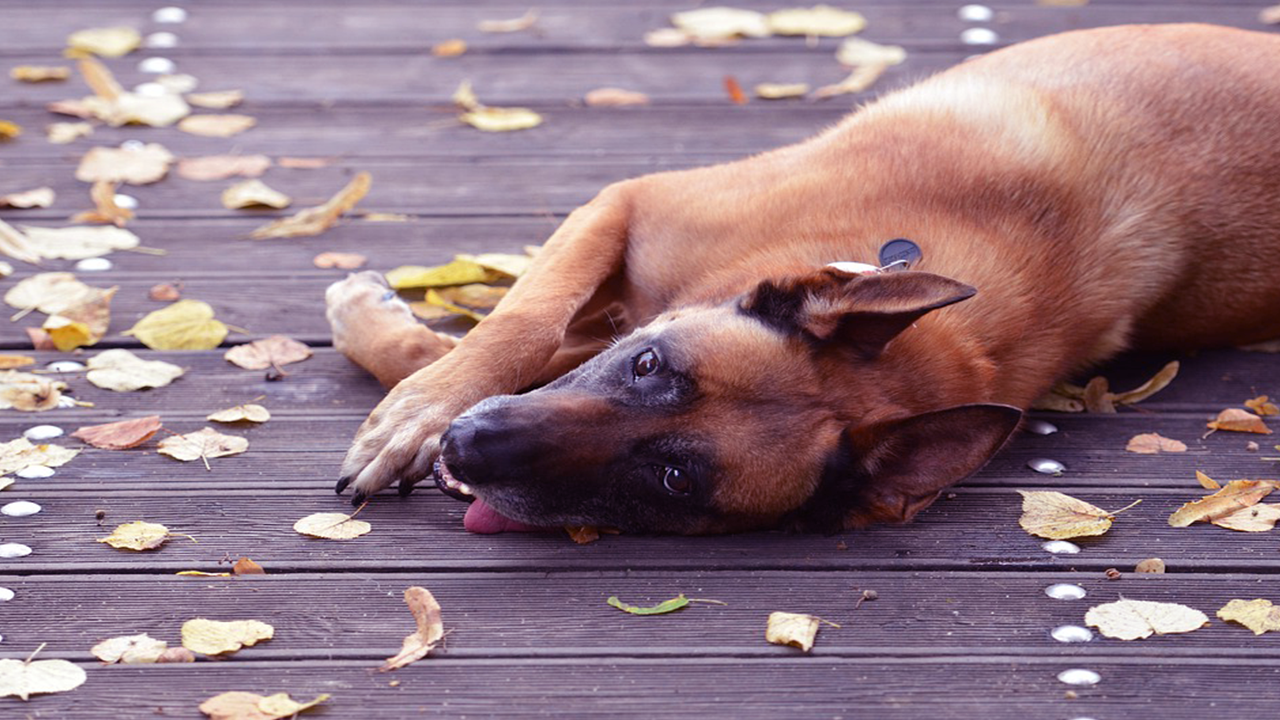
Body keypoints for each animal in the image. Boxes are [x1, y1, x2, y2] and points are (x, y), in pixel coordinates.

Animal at [327, 23, 1280, 532]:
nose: (470, 449)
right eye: (650, 367)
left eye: (673, 480)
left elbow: (512, 334)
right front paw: (411, 412)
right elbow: (520, 324)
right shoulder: (628, 208)